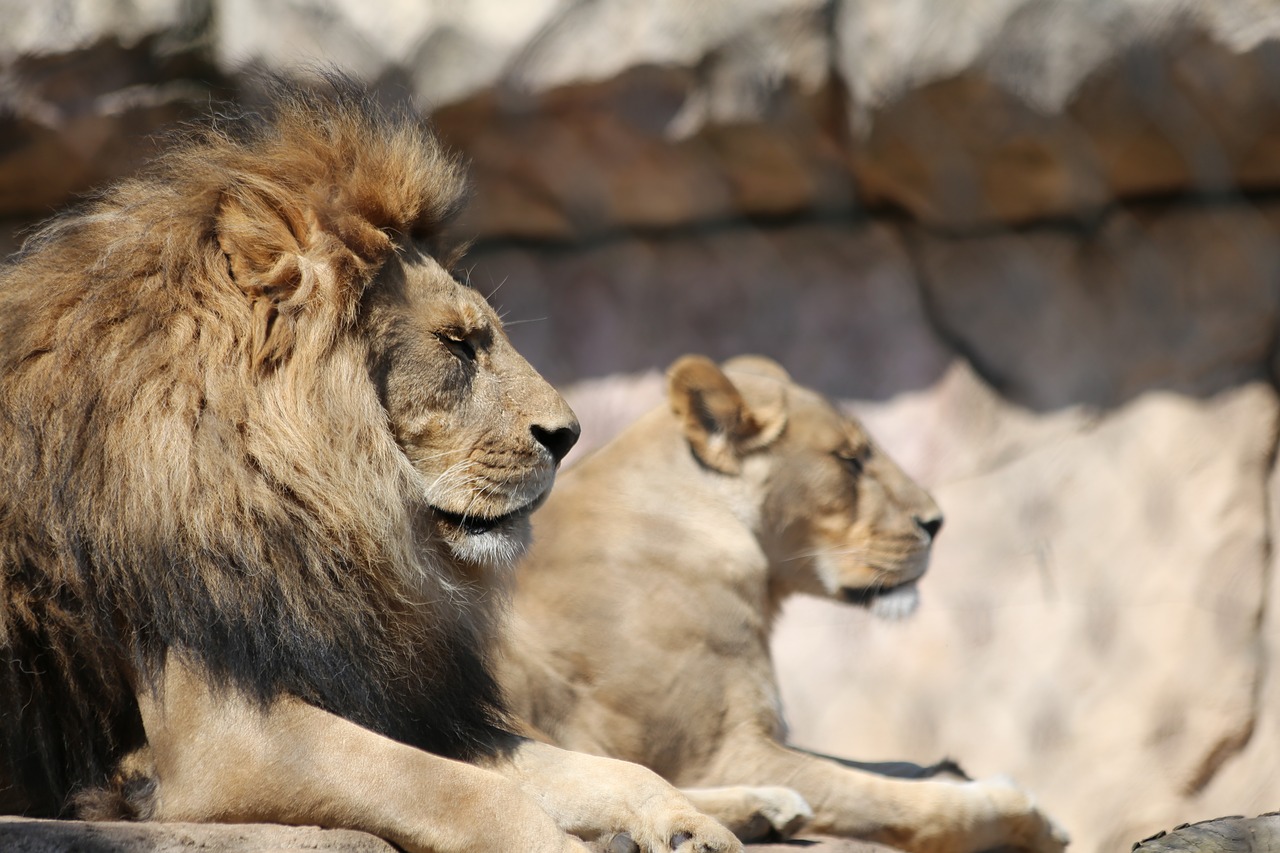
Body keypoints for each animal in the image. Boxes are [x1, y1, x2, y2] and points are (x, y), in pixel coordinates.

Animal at [0, 84, 742, 850]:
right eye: (456, 344)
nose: (568, 435)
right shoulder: (221, 737)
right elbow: (462, 791)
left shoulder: (398, 694)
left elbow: (606, 768)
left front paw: (686, 825)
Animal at [499, 353, 1070, 850]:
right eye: (849, 459)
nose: (936, 522)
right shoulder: (722, 753)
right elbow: (894, 799)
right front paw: (1028, 815)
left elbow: (869, 766)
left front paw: (945, 769)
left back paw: (766, 810)